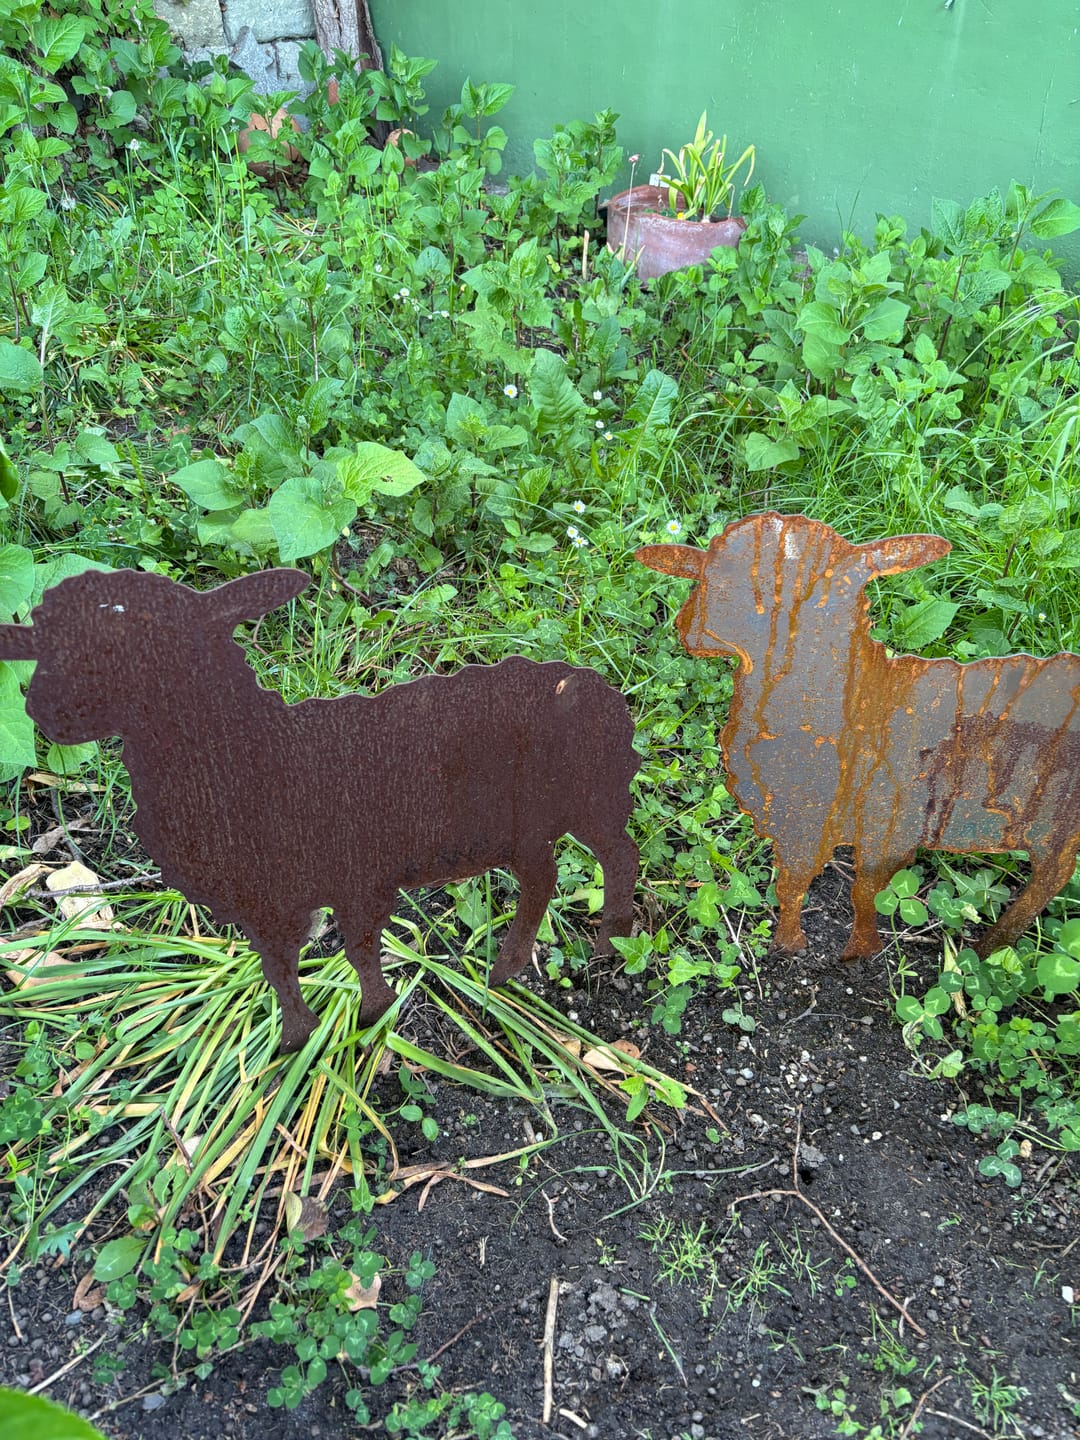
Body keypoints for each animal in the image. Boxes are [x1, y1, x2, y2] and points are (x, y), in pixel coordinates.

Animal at [0, 568, 640, 1051]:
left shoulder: (356, 875)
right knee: (553, 875)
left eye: (147, 637)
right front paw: (296, 1040)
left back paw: (593, 948)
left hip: (588, 801)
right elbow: (279, 965)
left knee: (617, 858)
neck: (251, 748)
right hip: (538, 825)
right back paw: (535, 964)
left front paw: (373, 1016)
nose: (45, 710)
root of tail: (593, 686)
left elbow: (358, 948)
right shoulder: (263, 900)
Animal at [638, 511, 1080, 959]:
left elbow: (864, 893)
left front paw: (858, 953)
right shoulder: (797, 822)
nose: (686, 628)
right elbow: (791, 887)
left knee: (1050, 879)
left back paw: (990, 948)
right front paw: (790, 945)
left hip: (1055, 826)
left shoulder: (888, 826)